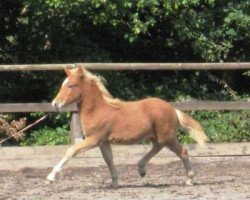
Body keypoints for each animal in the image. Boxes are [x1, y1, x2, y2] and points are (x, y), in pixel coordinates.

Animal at [46, 67, 208, 186]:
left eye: (71, 85)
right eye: (63, 85)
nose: (55, 104)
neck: (97, 110)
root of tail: (173, 108)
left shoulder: (94, 139)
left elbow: (71, 150)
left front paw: (51, 177)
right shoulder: (103, 142)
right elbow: (108, 159)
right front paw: (114, 182)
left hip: (167, 136)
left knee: (182, 151)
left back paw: (189, 180)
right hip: (155, 136)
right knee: (158, 146)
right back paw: (141, 169)